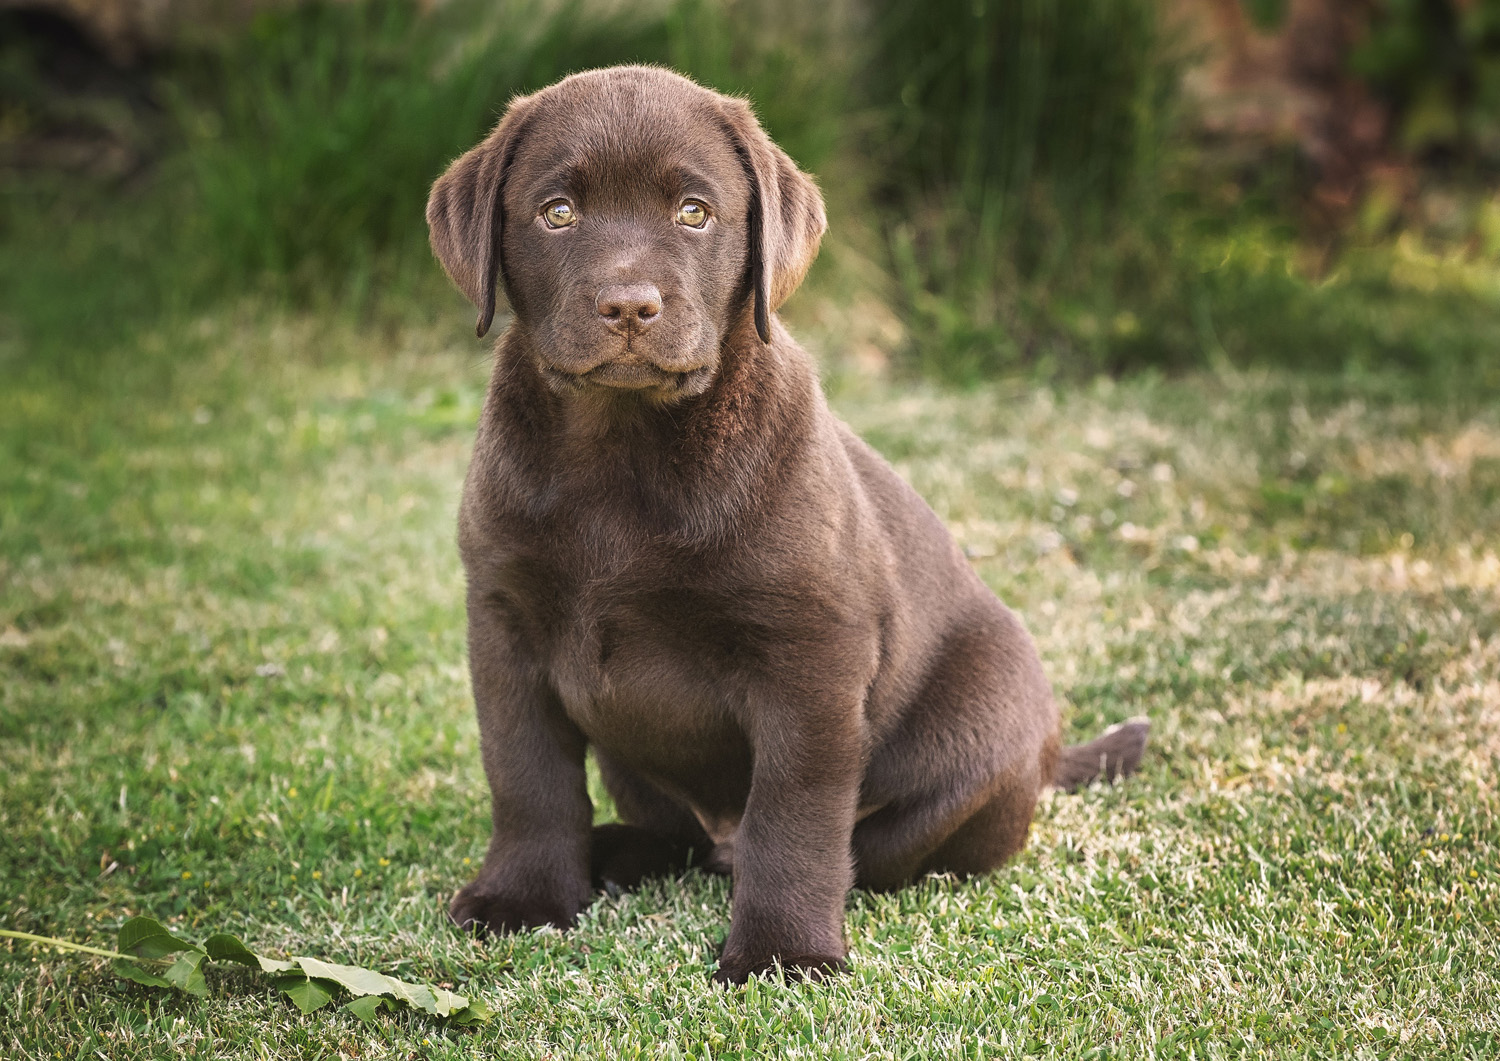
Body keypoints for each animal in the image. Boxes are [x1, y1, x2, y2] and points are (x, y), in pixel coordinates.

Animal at [423, 66, 1146, 990]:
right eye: (557, 212)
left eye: (695, 212)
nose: (629, 304)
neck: (622, 445)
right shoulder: (504, 621)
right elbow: (527, 776)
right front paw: (523, 896)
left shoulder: (812, 652)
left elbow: (794, 812)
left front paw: (783, 950)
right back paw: (615, 851)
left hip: (975, 739)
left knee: (860, 845)